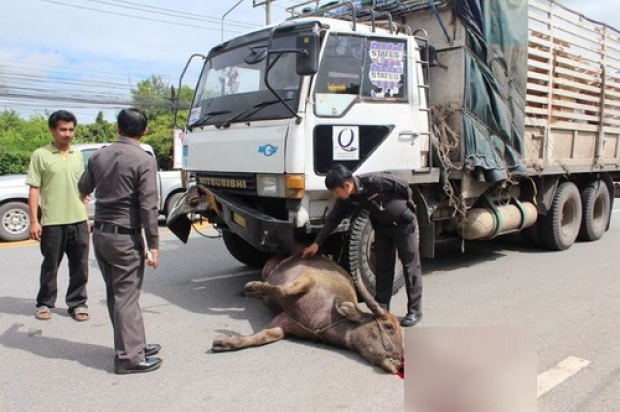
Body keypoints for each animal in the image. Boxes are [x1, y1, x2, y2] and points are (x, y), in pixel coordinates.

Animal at [211, 254, 404, 374]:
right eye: (388, 326)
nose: (401, 360)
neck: (327, 316)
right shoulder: (306, 281)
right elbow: (282, 289)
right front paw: (254, 287)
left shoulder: (283, 323)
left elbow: (267, 335)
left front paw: (227, 342)